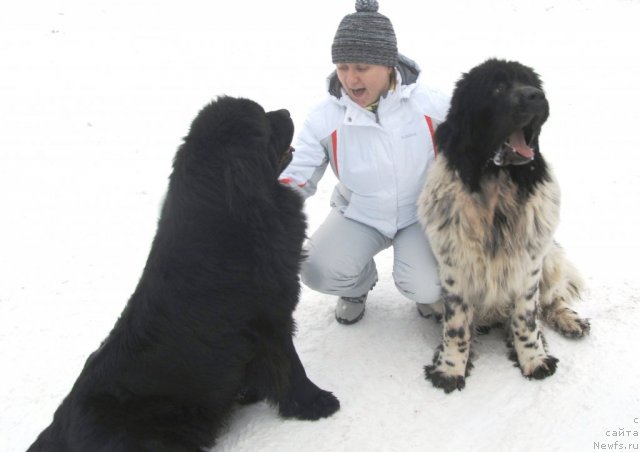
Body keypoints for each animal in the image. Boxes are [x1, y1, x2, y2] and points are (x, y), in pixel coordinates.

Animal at [28, 97, 340, 450]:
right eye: (262, 120)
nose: (285, 112)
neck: (228, 216)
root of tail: (59, 428)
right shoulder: (268, 319)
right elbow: (290, 366)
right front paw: (316, 403)